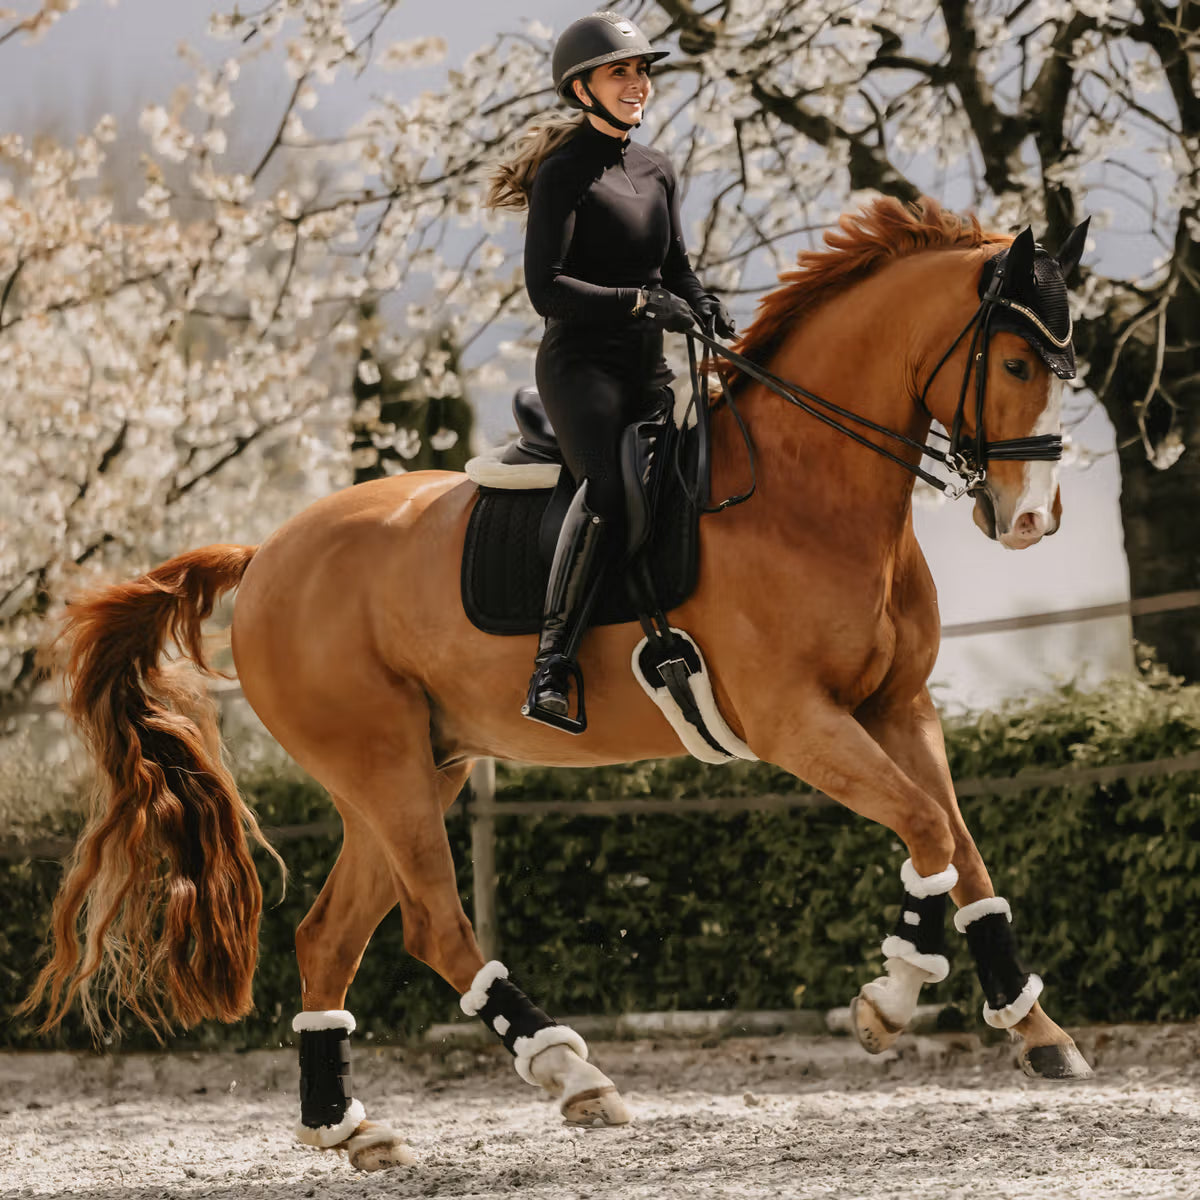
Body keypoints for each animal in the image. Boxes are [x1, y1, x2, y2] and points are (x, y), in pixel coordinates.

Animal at [26, 196, 1094, 1171]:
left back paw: (349, 1129)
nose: (1033, 520)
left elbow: (961, 849)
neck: (807, 490)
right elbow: (924, 830)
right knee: (435, 925)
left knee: (330, 938)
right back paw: (573, 1075)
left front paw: (1035, 1030)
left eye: (1068, 364)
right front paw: (889, 1003)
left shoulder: (899, 709)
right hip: (383, 770)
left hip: (419, 769)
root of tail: (264, 558)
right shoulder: (798, 722)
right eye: (1014, 364)